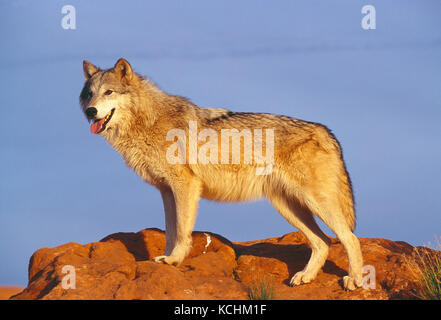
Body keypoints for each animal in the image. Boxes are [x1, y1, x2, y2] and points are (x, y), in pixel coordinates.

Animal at [80, 57, 364, 290]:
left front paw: (174, 260)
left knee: (349, 238)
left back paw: (354, 280)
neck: (147, 120)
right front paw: (167, 258)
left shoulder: (185, 185)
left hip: (314, 202)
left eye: (108, 92)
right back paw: (305, 276)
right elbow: (171, 230)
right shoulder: (166, 191)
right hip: (288, 206)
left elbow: (182, 230)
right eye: (89, 94)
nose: (90, 111)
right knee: (323, 242)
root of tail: (326, 131)